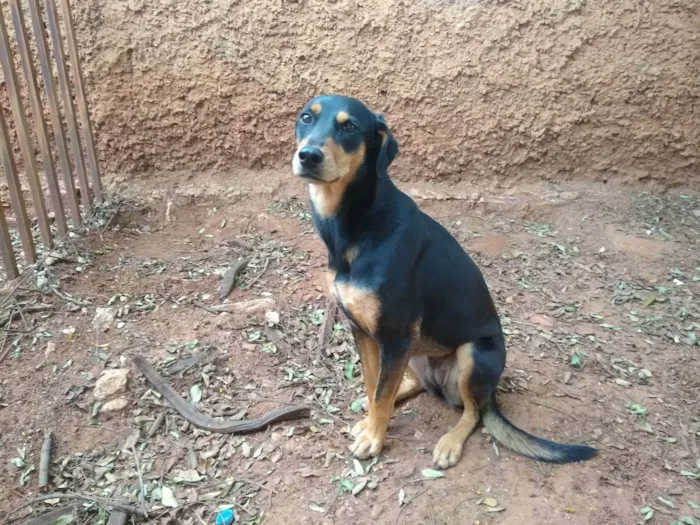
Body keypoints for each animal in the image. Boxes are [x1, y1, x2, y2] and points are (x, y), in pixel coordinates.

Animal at [290, 93, 596, 466]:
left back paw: (450, 442)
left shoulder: (395, 335)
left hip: (473, 355)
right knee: (412, 386)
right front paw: (372, 423)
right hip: (415, 352)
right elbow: (373, 385)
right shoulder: (363, 331)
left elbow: (381, 394)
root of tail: (491, 394)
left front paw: (374, 439)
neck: (358, 224)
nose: (308, 155)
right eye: (306, 118)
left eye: (349, 127)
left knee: (472, 412)